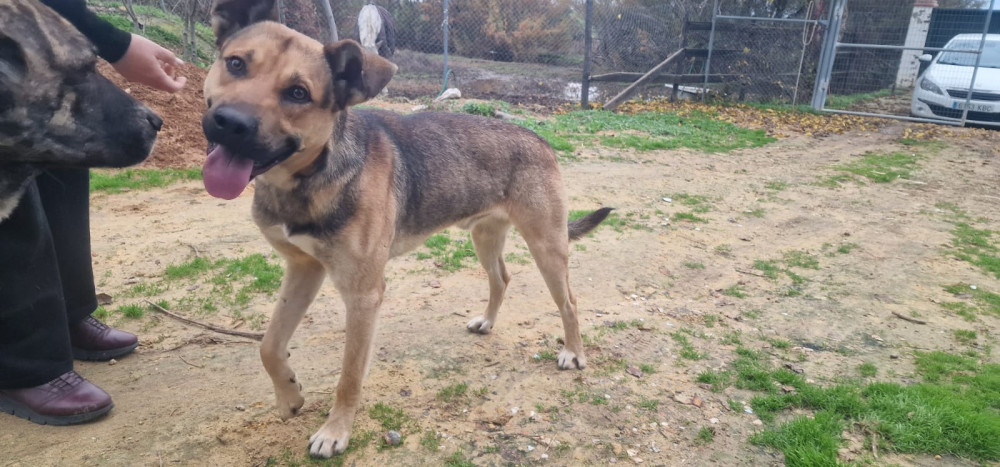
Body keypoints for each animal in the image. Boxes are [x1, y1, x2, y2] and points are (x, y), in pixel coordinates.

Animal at [202, 0, 611, 458]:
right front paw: (289, 397)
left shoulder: (364, 295)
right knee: (501, 278)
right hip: (484, 235)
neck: (311, 175)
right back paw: (487, 322)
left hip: (547, 245)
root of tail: (538, 138)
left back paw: (574, 354)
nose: (229, 123)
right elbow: (269, 344)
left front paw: (335, 431)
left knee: (569, 301)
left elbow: (349, 374)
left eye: (298, 93)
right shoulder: (303, 268)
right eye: (235, 64)